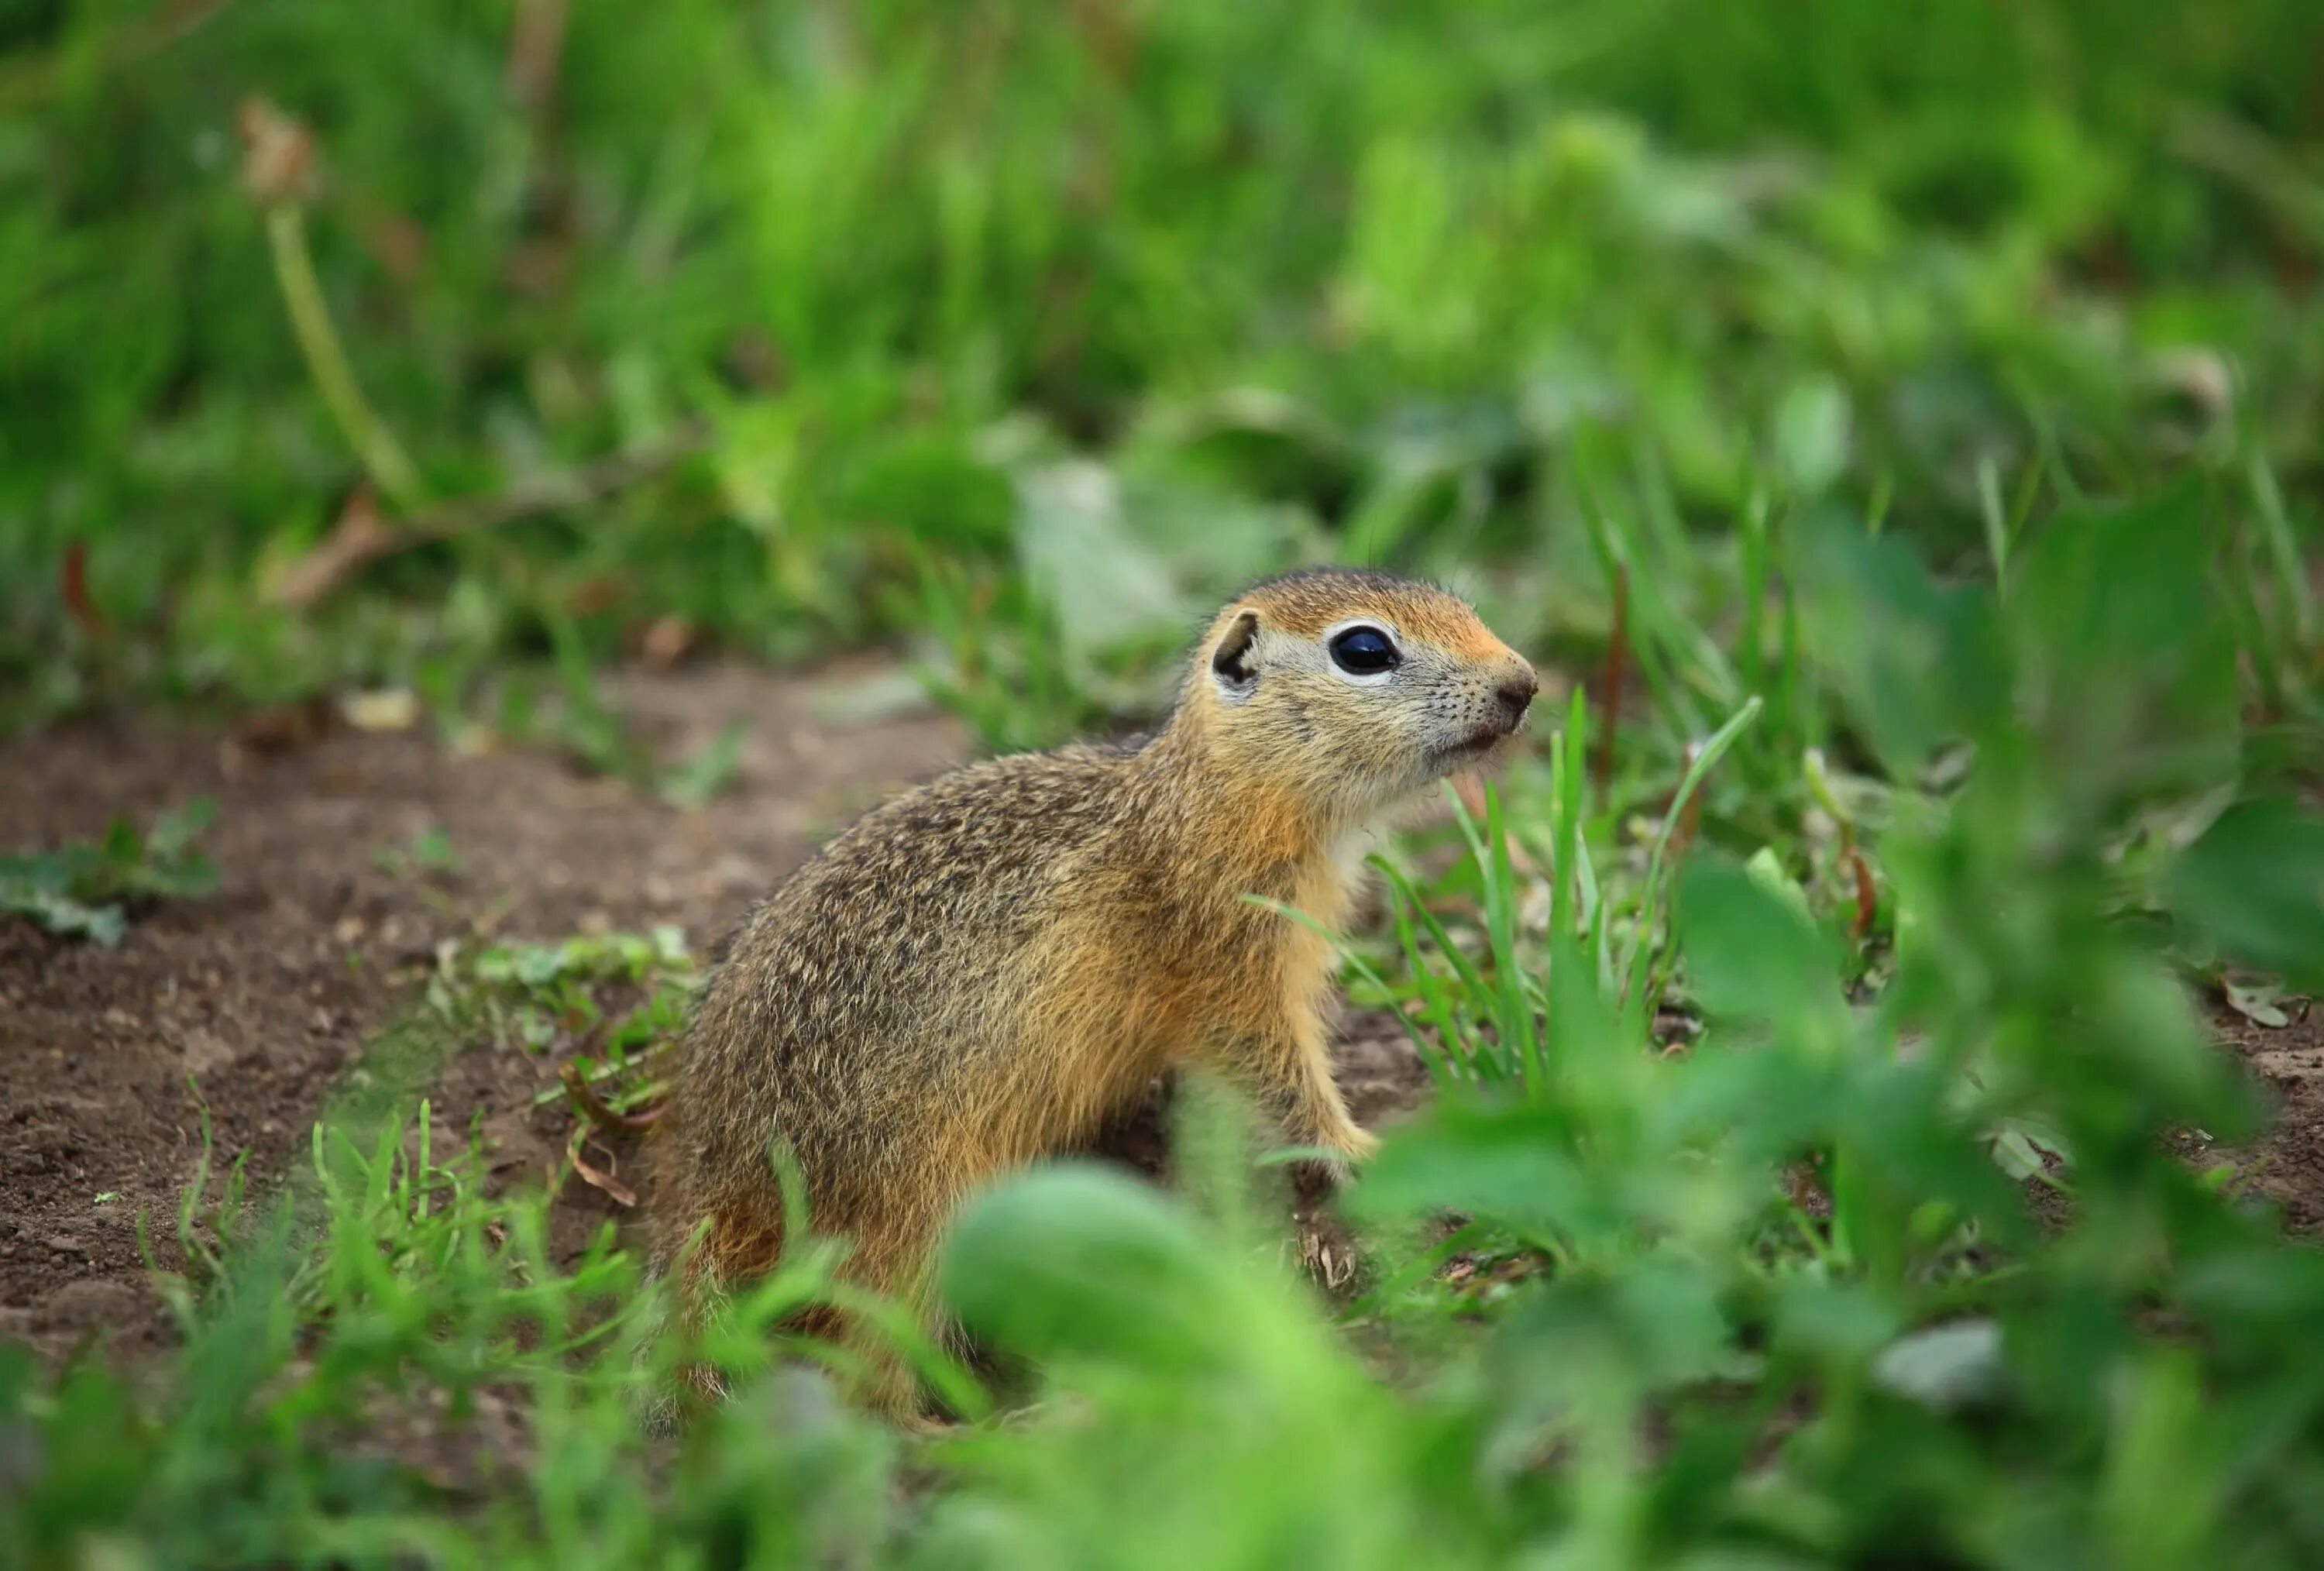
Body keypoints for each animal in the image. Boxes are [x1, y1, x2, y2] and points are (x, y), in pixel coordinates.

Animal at [651, 565, 1543, 1413]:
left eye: (1459, 606)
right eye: (1363, 650)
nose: (1525, 683)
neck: (1209, 798)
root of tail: (714, 1182)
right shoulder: (1229, 967)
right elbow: (1278, 1071)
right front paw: (1364, 1150)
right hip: (909, 1212)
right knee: (864, 1368)